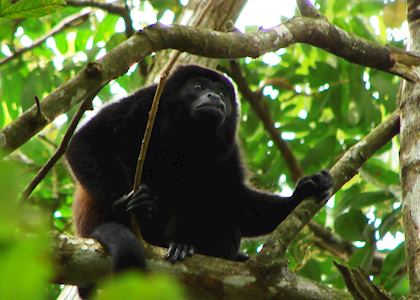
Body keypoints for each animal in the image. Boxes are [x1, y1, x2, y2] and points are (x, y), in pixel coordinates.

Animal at [66, 64, 332, 280]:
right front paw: (130, 201)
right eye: (198, 86)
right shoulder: (145, 103)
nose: (214, 96)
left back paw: (202, 249)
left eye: (222, 93)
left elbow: (235, 199)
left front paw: (302, 191)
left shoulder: (229, 148)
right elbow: (85, 141)